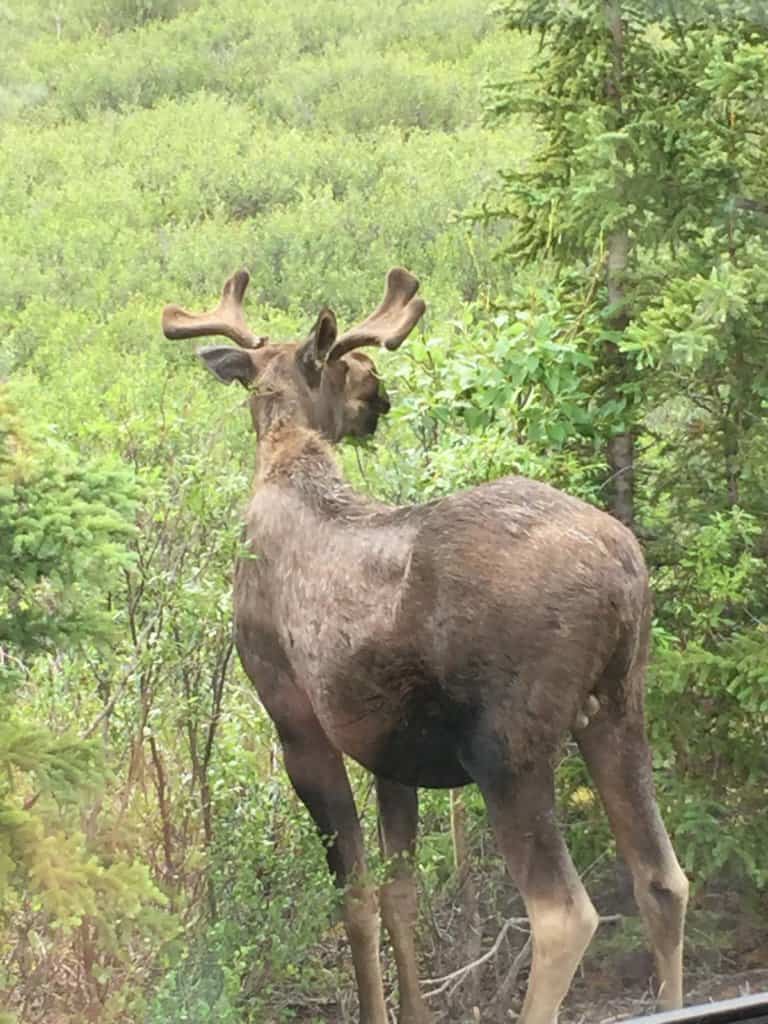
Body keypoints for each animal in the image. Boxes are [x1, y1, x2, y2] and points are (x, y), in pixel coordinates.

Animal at [163, 268, 692, 1019]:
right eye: (350, 367)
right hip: (620, 705)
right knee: (663, 878)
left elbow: (355, 901)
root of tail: (625, 573)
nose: (378, 394)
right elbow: (400, 895)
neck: (286, 463)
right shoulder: (392, 753)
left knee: (564, 914)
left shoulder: (297, 723)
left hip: (507, 746)